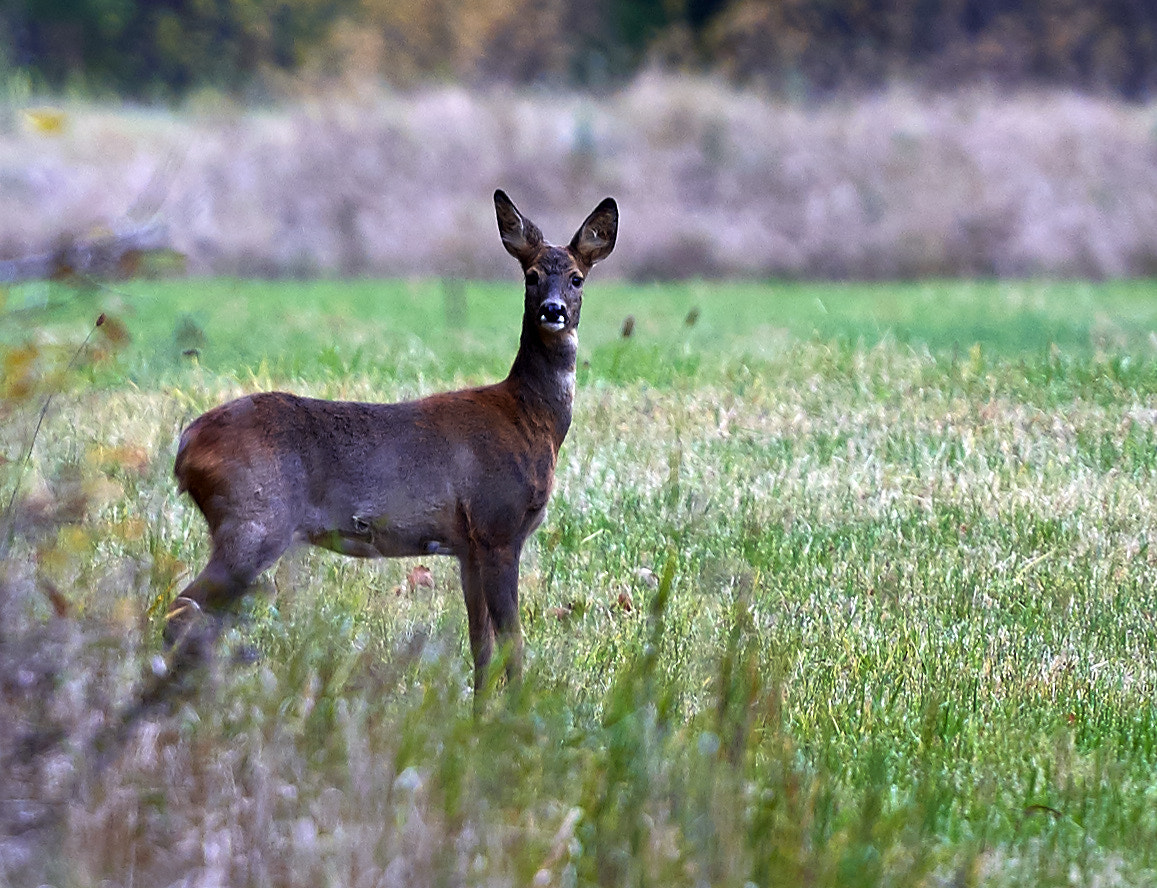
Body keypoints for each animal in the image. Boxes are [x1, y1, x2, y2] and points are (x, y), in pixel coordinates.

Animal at [163, 191, 618, 702]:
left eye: (577, 277)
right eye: (532, 275)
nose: (553, 310)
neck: (529, 418)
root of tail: (186, 446)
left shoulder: (468, 546)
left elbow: (480, 646)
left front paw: (479, 715)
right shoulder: (497, 525)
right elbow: (511, 643)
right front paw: (517, 714)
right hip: (253, 520)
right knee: (180, 611)